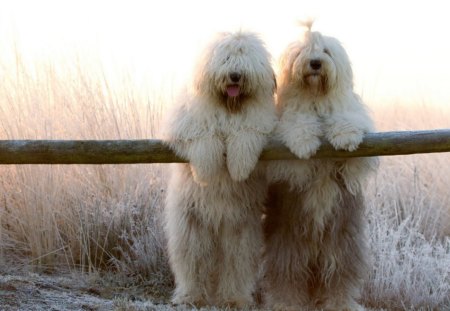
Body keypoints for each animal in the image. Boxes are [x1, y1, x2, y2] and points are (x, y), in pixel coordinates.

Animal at [164, 30, 278, 308]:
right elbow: (203, 135)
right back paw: (190, 296)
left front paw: (239, 167)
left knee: (236, 263)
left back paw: (234, 298)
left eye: (245, 58)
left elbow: (247, 133)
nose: (235, 75)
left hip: (240, 230)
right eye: (225, 58)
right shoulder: (186, 121)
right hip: (190, 225)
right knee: (191, 261)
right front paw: (206, 169)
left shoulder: (262, 124)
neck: (229, 108)